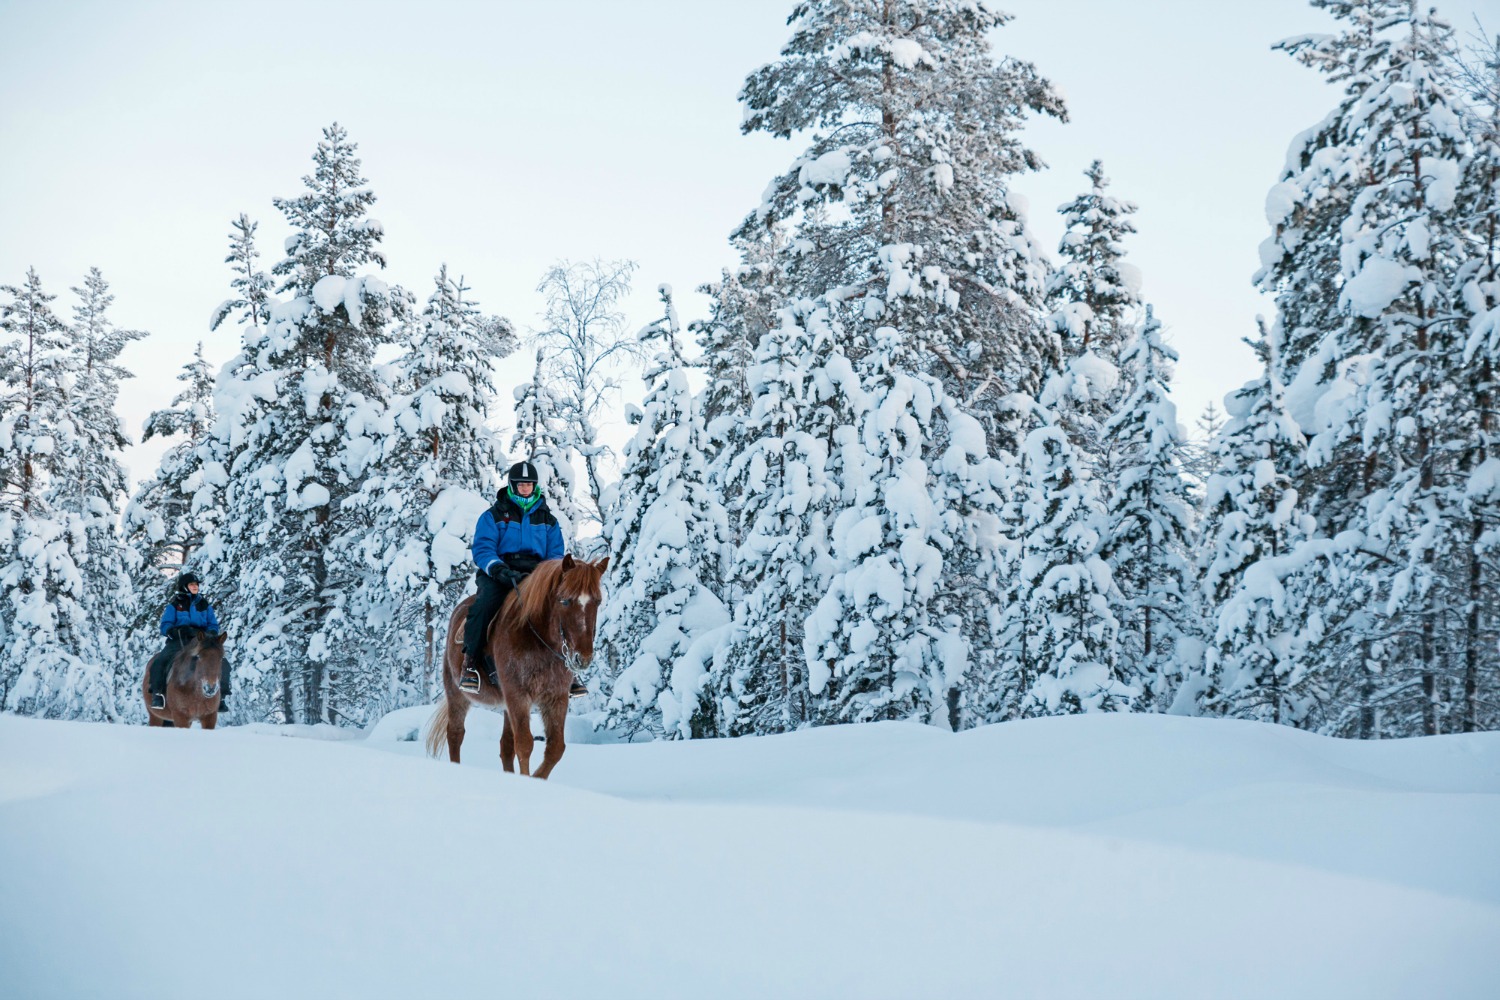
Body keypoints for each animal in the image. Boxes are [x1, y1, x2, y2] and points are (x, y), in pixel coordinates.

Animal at [426, 554, 606, 779]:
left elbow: (555, 747)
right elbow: (525, 744)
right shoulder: (518, 694)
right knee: (455, 734)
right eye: (565, 600)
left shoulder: (556, 697)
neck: (538, 640)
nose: (582, 658)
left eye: (597, 601)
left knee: (505, 746)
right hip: (457, 693)